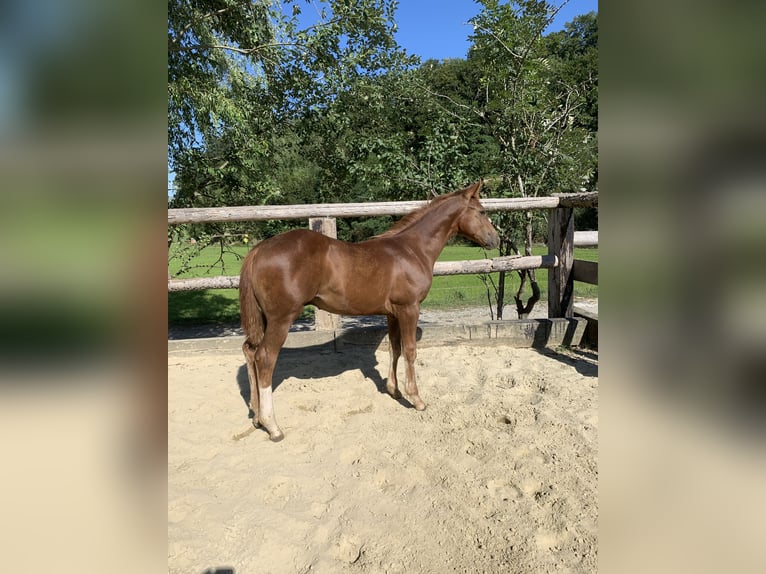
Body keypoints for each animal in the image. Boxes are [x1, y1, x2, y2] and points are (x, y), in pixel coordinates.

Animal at [243, 182, 500, 444]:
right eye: (482, 211)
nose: (496, 239)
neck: (412, 250)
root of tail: (260, 249)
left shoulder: (392, 313)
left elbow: (394, 348)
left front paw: (394, 391)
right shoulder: (409, 308)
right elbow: (410, 350)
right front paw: (416, 399)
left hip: (264, 320)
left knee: (250, 352)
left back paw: (256, 416)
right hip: (281, 319)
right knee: (265, 358)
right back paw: (273, 426)